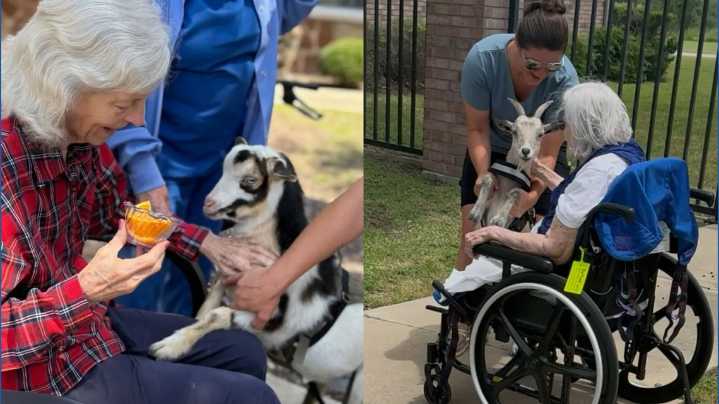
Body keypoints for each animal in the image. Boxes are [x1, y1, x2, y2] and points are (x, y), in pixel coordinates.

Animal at [149, 139, 363, 403]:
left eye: (250, 180)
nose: (208, 203)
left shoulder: (271, 321)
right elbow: (205, 310)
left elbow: (217, 315)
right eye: (222, 168)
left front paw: (168, 347)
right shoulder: (225, 282)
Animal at [468, 98, 562, 228]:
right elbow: (488, 178)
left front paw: (499, 219)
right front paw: (476, 212)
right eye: (514, 131)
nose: (525, 151)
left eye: (541, 134)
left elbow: (515, 192)